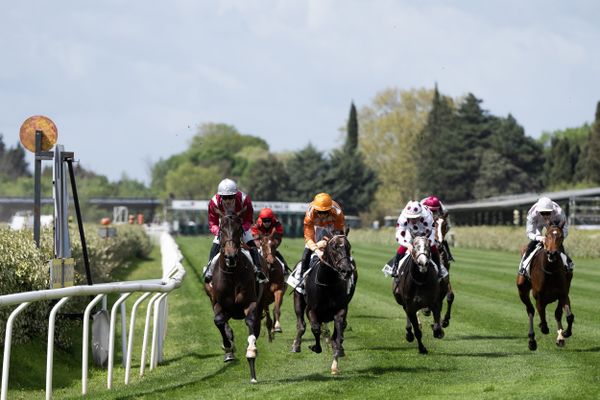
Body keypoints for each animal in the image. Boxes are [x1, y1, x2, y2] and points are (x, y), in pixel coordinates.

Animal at [204, 214, 262, 382]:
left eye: (239, 229)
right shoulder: (218, 304)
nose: (230, 256)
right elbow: (218, 321)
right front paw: (228, 346)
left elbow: (251, 323)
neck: (232, 274)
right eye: (222, 230)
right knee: (224, 323)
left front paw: (251, 353)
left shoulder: (251, 303)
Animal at [290, 231, 356, 376]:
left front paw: (336, 361)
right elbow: (315, 328)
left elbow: (338, 331)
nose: (347, 270)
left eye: (348, 246)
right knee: (301, 325)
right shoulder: (311, 310)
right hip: (298, 300)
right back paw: (296, 345)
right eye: (334, 247)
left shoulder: (341, 310)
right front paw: (315, 347)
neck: (327, 284)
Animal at [516, 222, 576, 350]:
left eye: (561, 236)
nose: (552, 253)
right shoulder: (539, 297)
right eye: (547, 235)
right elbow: (542, 319)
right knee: (530, 311)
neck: (550, 270)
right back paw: (532, 340)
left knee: (557, 314)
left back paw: (560, 338)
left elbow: (568, 316)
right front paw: (542, 328)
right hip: (522, 289)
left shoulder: (563, 294)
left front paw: (565, 333)